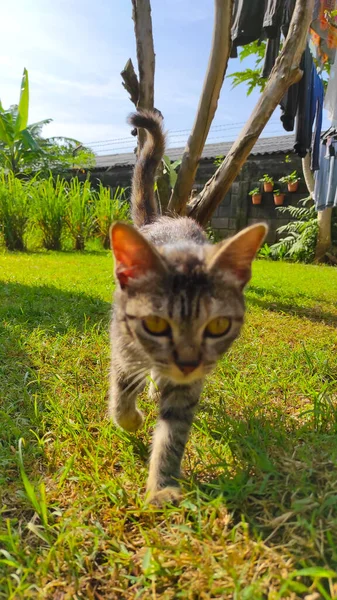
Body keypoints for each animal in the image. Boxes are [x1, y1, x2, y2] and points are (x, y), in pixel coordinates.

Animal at [109, 110, 266, 504]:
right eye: (155, 324)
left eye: (218, 326)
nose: (188, 363)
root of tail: (162, 220)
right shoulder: (123, 346)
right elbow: (121, 393)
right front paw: (131, 419)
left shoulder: (189, 385)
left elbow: (173, 432)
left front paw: (162, 485)